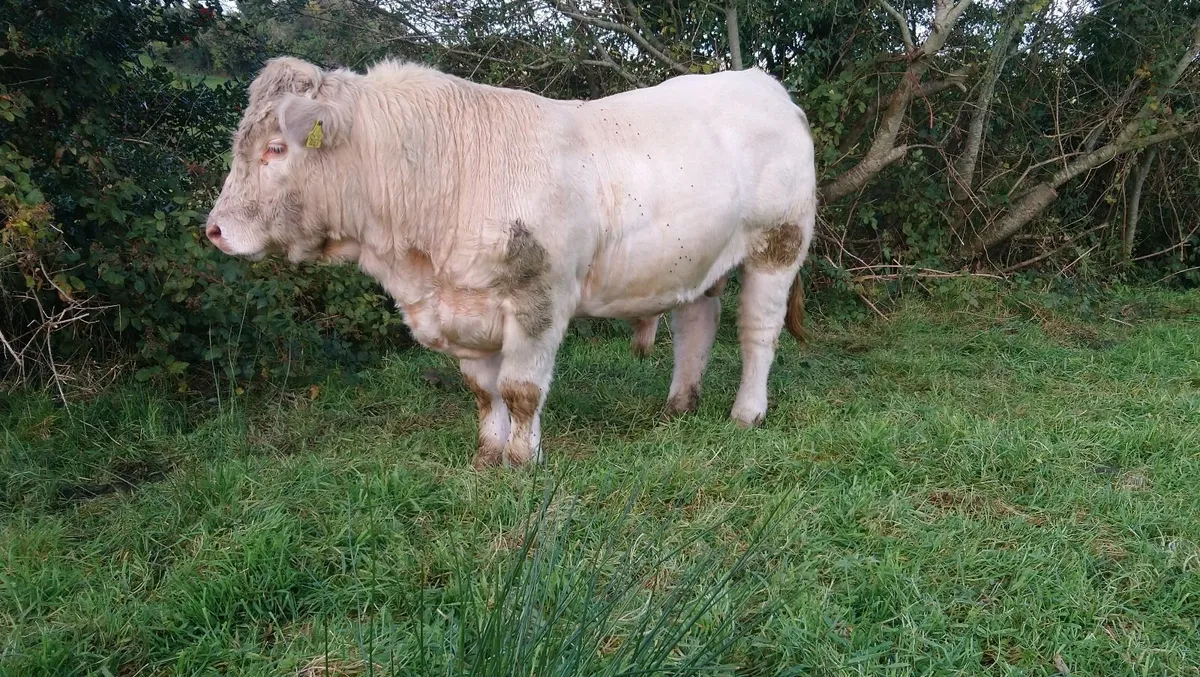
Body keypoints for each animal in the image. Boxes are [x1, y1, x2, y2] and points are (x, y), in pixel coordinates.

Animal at [204, 56, 817, 468]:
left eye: (276, 148)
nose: (214, 230)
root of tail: (762, 83)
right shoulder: (461, 306)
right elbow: (484, 391)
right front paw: (487, 455)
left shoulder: (538, 298)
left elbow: (521, 389)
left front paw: (523, 461)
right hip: (694, 259)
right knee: (696, 323)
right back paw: (677, 407)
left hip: (779, 244)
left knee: (756, 332)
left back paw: (747, 413)